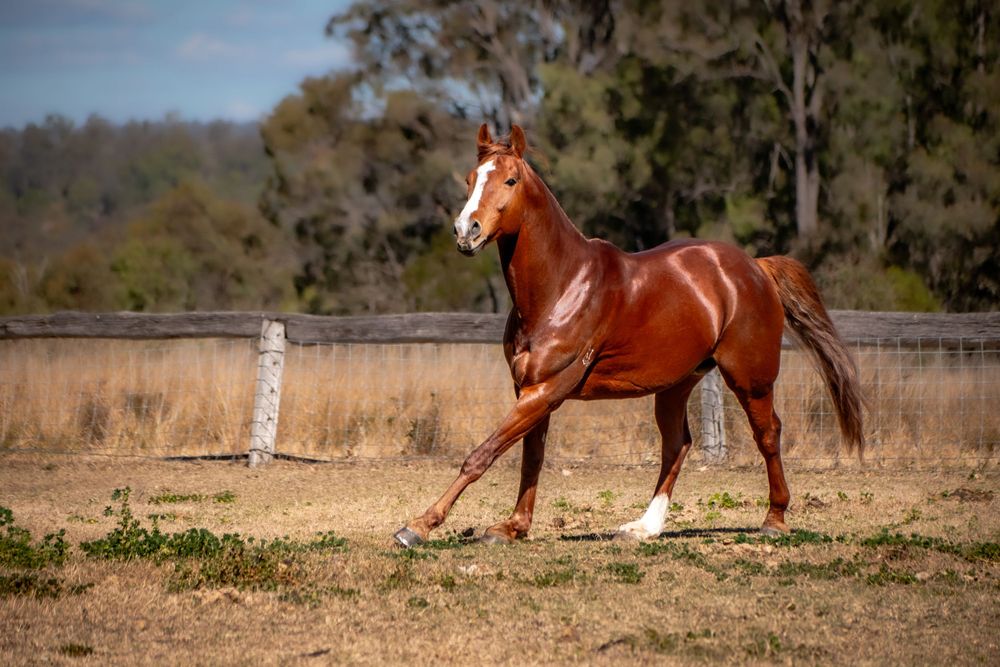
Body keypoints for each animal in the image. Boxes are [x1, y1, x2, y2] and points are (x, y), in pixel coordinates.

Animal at [393, 124, 864, 547]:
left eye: (510, 179)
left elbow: (482, 456)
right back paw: (643, 528)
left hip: (751, 379)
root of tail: (756, 267)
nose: (465, 231)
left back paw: (774, 519)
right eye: (471, 179)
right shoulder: (529, 390)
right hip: (677, 384)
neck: (562, 286)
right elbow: (532, 457)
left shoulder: (546, 390)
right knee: (678, 444)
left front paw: (417, 527)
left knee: (767, 435)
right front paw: (512, 528)